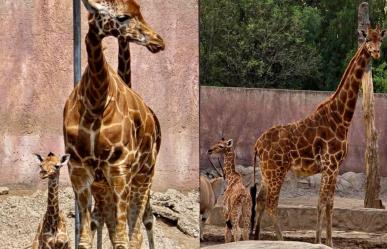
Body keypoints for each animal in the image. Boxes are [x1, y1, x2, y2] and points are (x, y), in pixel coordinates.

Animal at [63, 0, 164, 248]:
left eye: (140, 12)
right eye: (122, 17)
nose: (158, 41)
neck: (94, 104)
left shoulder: (120, 169)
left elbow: (121, 238)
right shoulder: (79, 171)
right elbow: (85, 236)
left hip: (144, 175)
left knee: (138, 229)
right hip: (106, 185)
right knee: (109, 223)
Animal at [253, 26, 386, 246]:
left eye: (380, 40)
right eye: (367, 39)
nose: (376, 52)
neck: (341, 118)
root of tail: (257, 145)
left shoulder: (334, 166)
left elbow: (328, 203)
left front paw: (328, 241)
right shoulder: (330, 164)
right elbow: (323, 203)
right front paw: (320, 241)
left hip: (266, 172)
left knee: (260, 201)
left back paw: (253, 238)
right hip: (276, 170)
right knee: (271, 204)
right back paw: (281, 240)